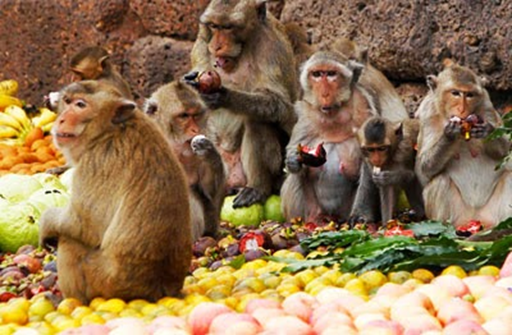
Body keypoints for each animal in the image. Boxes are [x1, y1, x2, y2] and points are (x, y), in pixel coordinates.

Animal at [39, 80, 192, 304]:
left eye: (80, 105)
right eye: (67, 101)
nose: (62, 118)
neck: (110, 130)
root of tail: (162, 288)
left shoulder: (96, 162)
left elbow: (84, 227)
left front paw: (45, 224)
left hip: (107, 282)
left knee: (70, 242)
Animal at [186, 0, 298, 209]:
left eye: (228, 27)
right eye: (214, 26)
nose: (217, 46)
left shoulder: (271, 46)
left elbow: (278, 102)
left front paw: (222, 96)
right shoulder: (203, 39)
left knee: (258, 120)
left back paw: (256, 188)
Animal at [416, 59, 512, 230]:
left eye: (470, 95)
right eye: (455, 93)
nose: (462, 109)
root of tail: (475, 217)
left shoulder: (486, 106)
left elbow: (505, 151)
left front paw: (486, 131)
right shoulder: (427, 113)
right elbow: (424, 169)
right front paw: (450, 134)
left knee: (509, 177)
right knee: (441, 180)